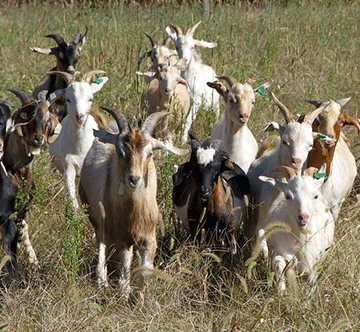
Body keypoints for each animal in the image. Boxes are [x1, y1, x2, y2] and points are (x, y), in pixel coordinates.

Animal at [47, 71, 108, 209]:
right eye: (68, 99)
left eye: (90, 99)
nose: (80, 117)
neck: (81, 149)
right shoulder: (69, 166)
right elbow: (72, 200)